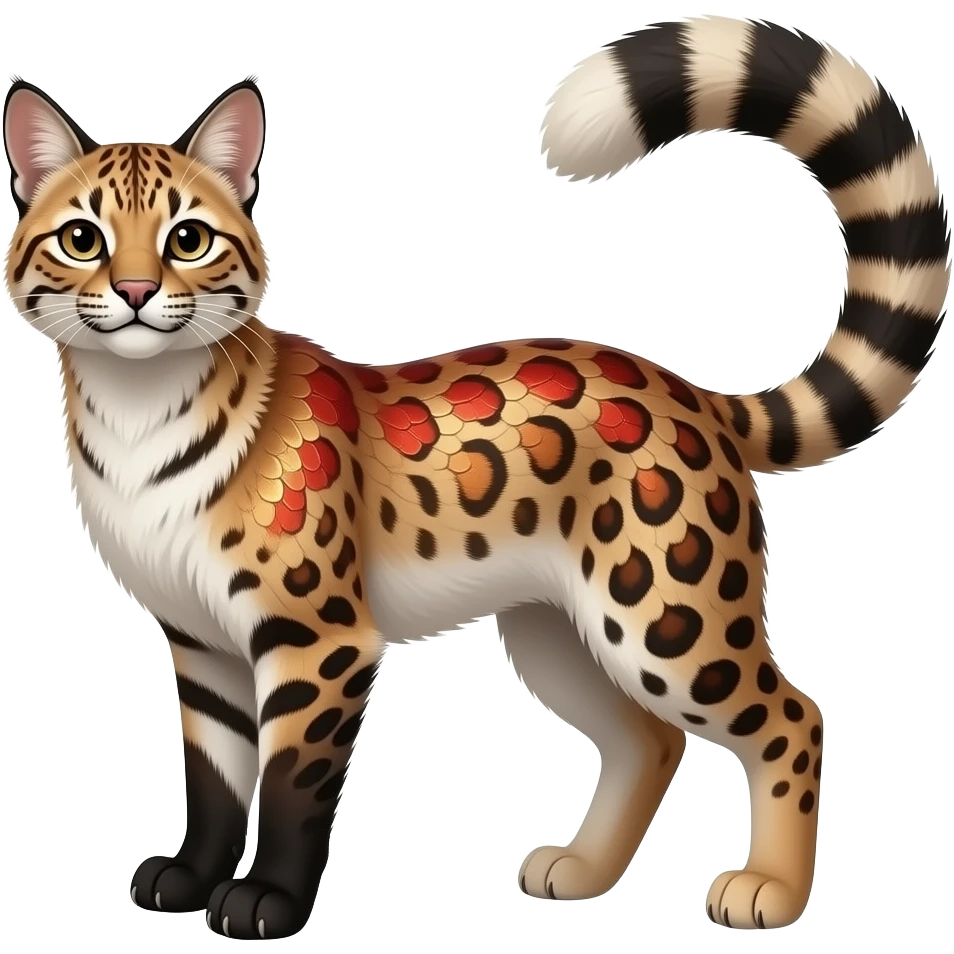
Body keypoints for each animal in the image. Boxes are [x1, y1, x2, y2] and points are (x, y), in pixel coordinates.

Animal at [2, 14, 949, 939]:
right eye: (82, 239)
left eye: (188, 239)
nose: (133, 291)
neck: (137, 416)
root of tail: (692, 393)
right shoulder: (201, 643)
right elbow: (213, 780)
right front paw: (192, 876)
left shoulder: (319, 641)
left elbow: (292, 783)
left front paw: (267, 899)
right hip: (557, 629)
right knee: (647, 740)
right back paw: (585, 870)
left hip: (666, 614)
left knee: (792, 719)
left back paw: (773, 892)